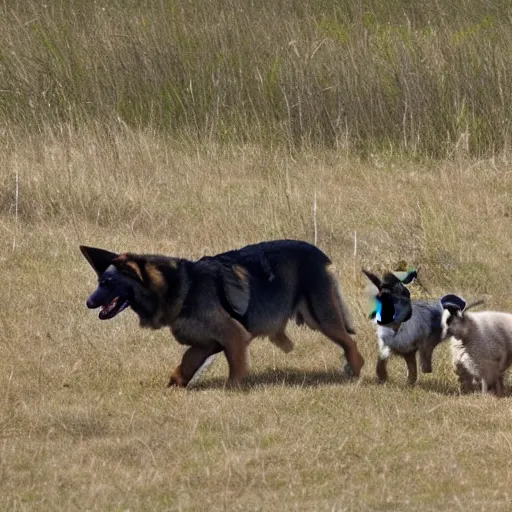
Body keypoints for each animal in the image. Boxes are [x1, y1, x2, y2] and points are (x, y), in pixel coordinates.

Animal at [81, 242, 364, 386]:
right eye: (99, 282)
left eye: (107, 283)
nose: (88, 302)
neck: (182, 286)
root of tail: (319, 253)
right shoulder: (206, 344)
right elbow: (185, 363)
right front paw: (175, 386)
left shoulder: (234, 338)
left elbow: (234, 370)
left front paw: (233, 391)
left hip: (321, 319)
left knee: (350, 343)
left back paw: (356, 369)